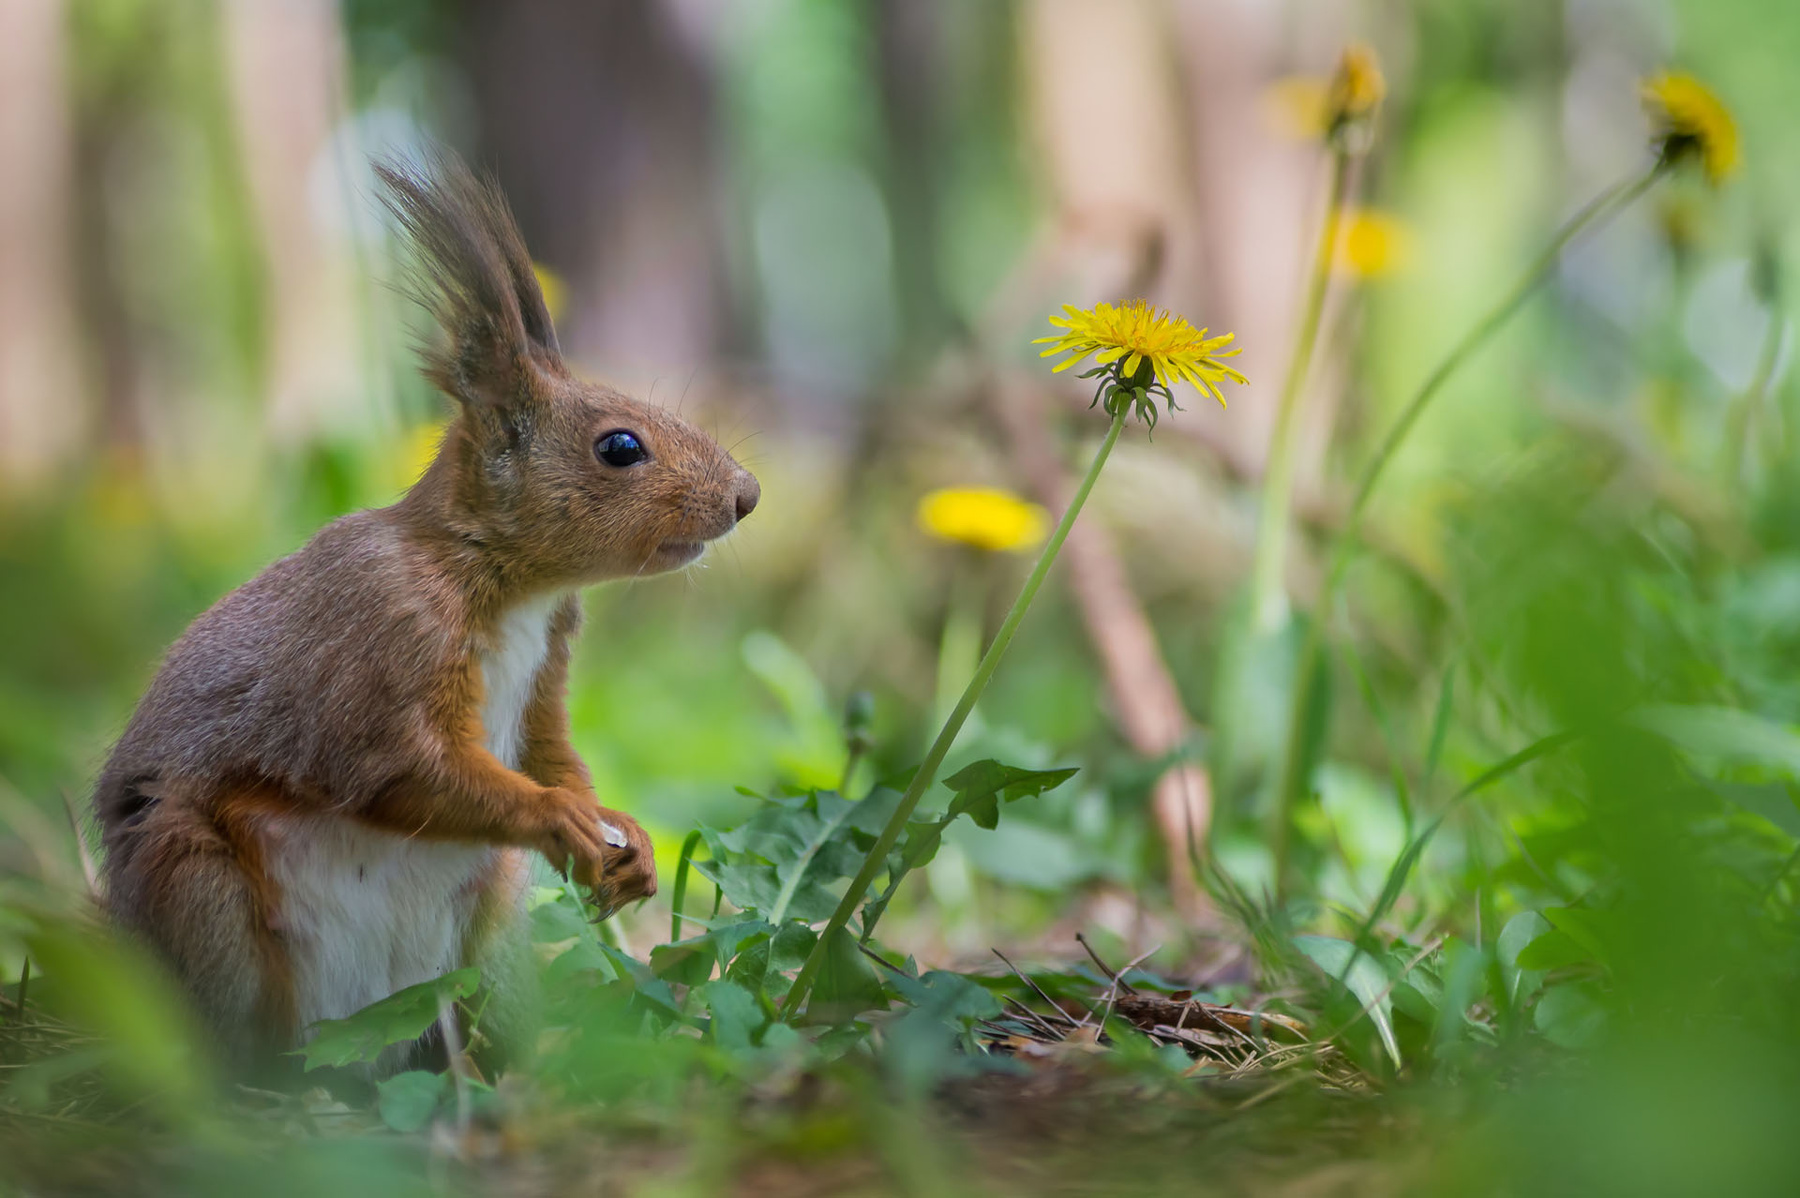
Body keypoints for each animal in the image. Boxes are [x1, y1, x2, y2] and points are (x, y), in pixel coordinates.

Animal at [89, 152, 759, 1070]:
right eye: (621, 446)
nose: (747, 495)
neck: (509, 586)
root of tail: (357, 1040)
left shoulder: (549, 662)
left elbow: (550, 753)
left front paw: (626, 835)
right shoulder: (382, 646)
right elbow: (411, 773)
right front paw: (557, 817)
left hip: (489, 932)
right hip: (199, 890)